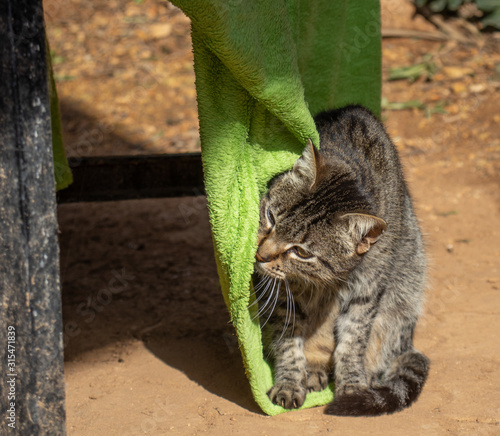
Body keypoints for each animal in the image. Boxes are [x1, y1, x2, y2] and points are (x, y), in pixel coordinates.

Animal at [254, 105, 430, 416]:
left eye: (302, 252)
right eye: (271, 217)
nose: (261, 255)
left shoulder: (366, 291)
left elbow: (352, 342)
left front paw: (352, 385)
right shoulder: (284, 299)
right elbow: (288, 341)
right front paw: (289, 381)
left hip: (405, 293)